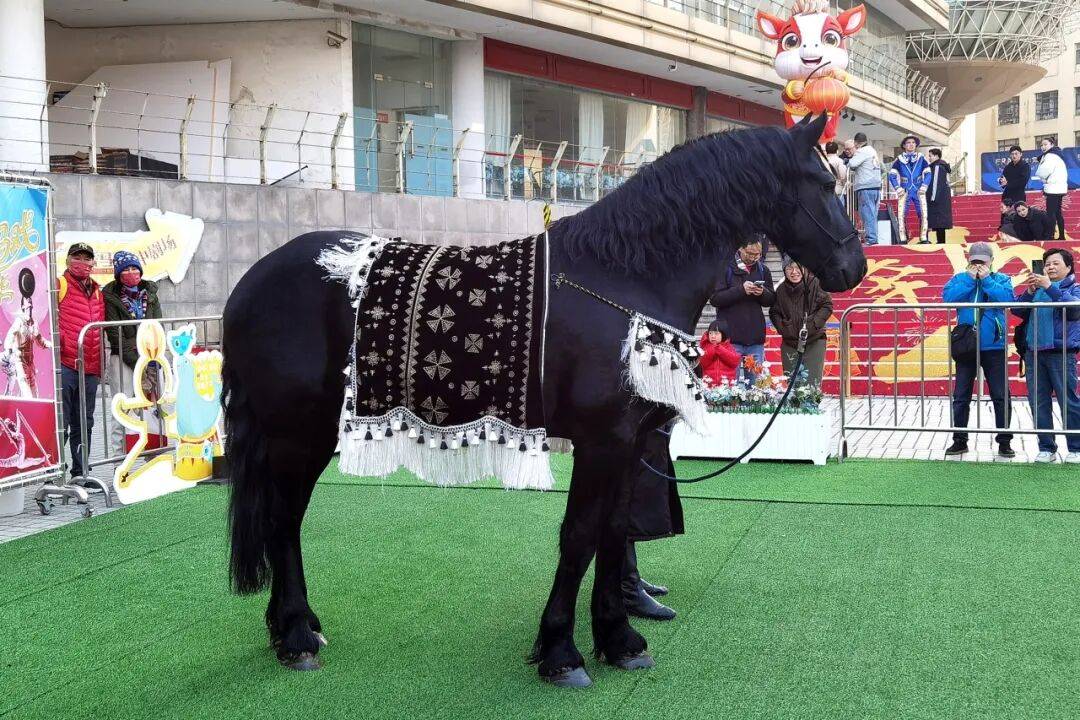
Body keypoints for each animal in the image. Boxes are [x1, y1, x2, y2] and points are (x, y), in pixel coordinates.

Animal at [222, 113, 866, 687]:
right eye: (825, 182)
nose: (854, 267)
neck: (623, 277)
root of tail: (251, 282)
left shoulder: (628, 444)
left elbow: (613, 534)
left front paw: (619, 639)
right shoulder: (601, 441)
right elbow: (579, 536)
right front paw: (561, 652)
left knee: (284, 520)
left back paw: (293, 627)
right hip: (296, 432)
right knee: (283, 520)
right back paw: (297, 636)